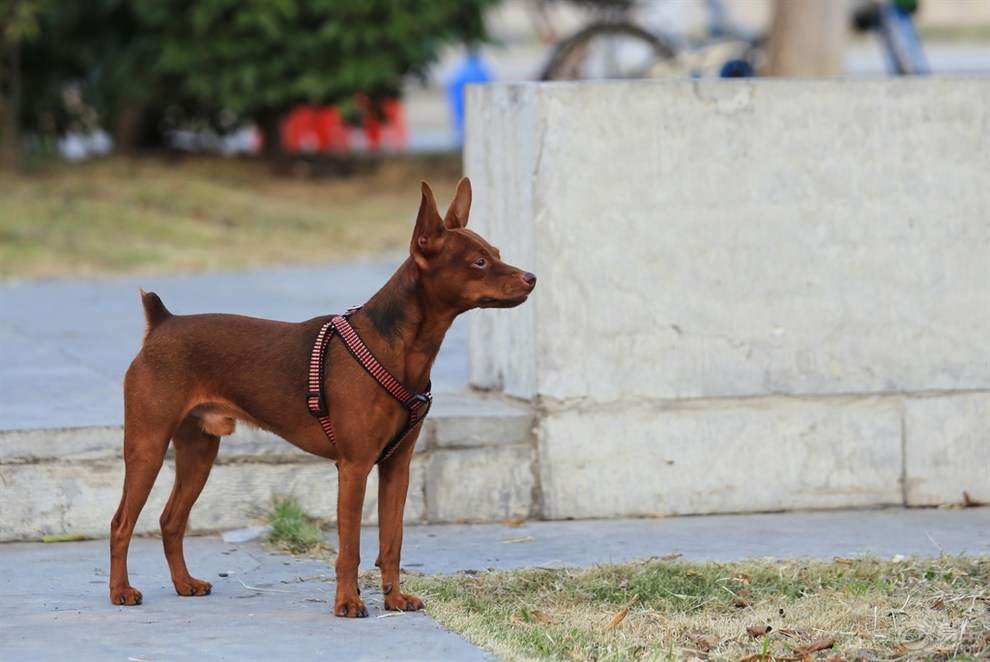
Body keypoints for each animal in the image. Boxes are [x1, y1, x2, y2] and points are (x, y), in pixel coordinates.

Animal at [109, 180, 540, 616]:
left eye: (497, 252)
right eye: (479, 262)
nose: (532, 277)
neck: (396, 346)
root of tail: (162, 322)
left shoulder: (397, 467)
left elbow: (393, 540)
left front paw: (395, 598)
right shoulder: (354, 467)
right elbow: (350, 547)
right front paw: (348, 602)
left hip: (199, 451)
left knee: (170, 519)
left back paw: (184, 584)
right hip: (148, 446)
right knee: (122, 522)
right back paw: (120, 591)